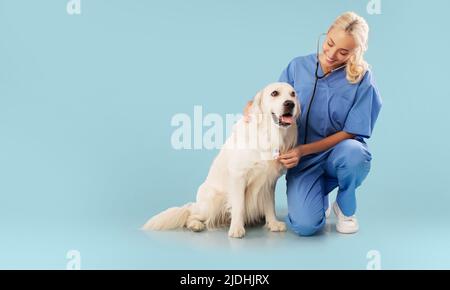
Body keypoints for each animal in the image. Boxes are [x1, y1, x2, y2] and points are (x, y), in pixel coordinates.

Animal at [142, 82, 300, 238]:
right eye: (274, 93)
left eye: (293, 94)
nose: (290, 103)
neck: (269, 134)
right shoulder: (238, 176)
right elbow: (239, 206)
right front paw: (236, 228)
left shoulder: (268, 181)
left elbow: (269, 205)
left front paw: (273, 223)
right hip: (213, 200)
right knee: (191, 214)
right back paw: (195, 225)